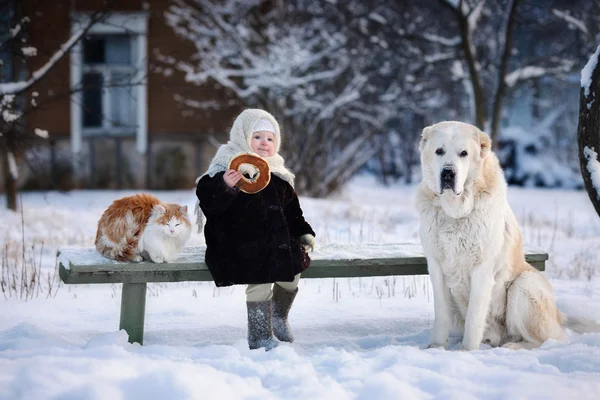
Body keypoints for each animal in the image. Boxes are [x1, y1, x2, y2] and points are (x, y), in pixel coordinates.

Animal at [418, 120, 596, 348]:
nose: (448, 173)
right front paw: (437, 348)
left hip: (523, 286)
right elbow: (441, 315)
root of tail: (558, 314)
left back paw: (512, 346)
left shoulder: (482, 269)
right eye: (439, 151)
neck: (456, 212)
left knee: (548, 340)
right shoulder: (436, 267)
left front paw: (466, 351)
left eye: (463, 153)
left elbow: (474, 318)